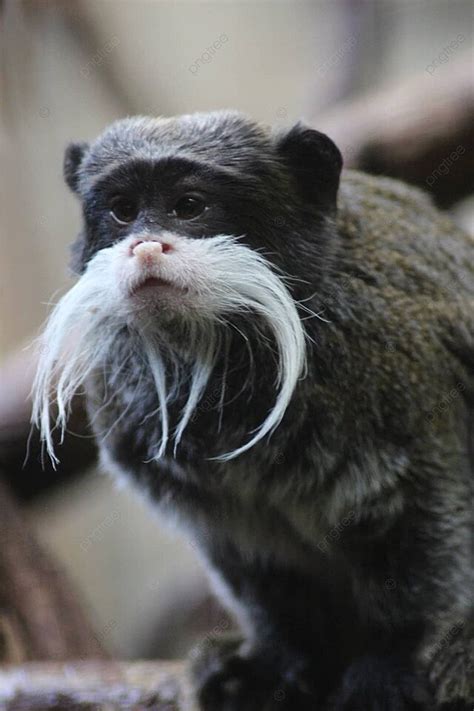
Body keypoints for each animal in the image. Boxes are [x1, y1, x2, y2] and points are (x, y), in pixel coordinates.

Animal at [32, 111, 474, 710]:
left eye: (188, 206)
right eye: (123, 209)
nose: (145, 246)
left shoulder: (403, 386)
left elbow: (423, 539)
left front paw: (394, 658)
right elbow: (255, 565)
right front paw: (277, 660)